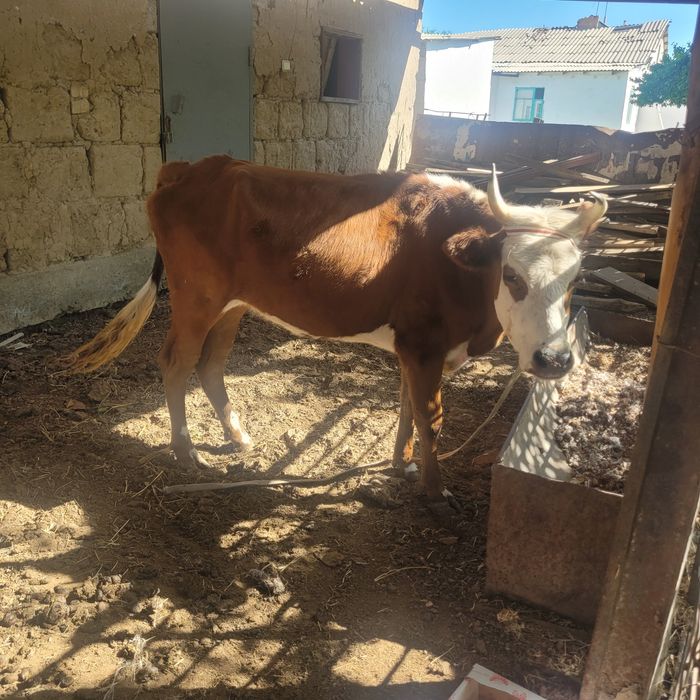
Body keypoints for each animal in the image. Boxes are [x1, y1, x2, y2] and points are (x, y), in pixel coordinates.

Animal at [67, 156, 606, 516]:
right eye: (512, 276)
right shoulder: (424, 345)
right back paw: (186, 453)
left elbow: (407, 409)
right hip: (195, 298)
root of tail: (191, 167)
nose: (555, 360)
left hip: (233, 304)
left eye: (575, 278)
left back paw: (238, 436)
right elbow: (431, 418)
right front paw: (435, 492)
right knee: (176, 363)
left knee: (211, 365)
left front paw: (402, 466)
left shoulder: (414, 349)